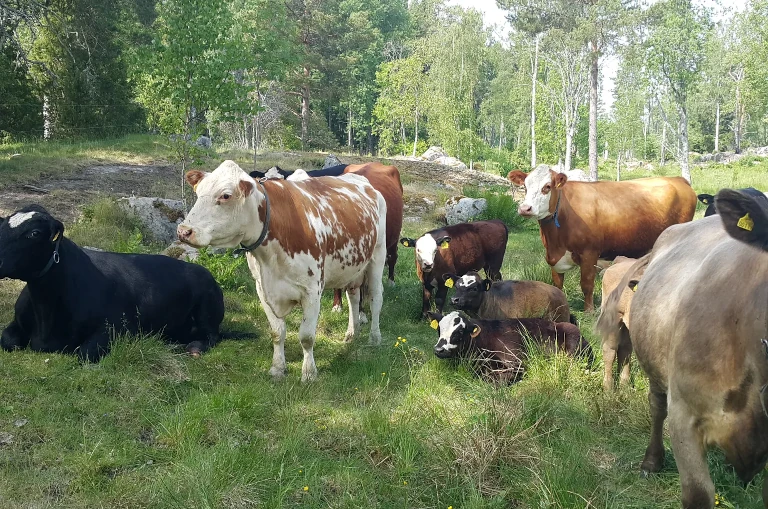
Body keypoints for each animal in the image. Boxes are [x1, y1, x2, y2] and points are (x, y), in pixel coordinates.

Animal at [0, 205, 228, 361]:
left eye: (34, 233)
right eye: (2, 226)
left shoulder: (114, 328)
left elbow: (84, 353)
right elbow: (7, 340)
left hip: (207, 309)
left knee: (211, 335)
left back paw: (194, 347)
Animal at [177, 160, 387, 382]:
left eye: (225, 195)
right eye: (198, 191)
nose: (183, 231)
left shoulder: (312, 291)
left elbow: (306, 336)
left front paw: (309, 373)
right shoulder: (262, 289)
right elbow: (277, 332)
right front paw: (277, 368)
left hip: (377, 257)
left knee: (375, 298)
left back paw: (374, 338)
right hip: (353, 266)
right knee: (353, 297)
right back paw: (351, 334)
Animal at [508, 165, 696, 311]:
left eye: (547, 186)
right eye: (525, 187)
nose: (525, 208)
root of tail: (679, 179)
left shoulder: (589, 252)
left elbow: (587, 283)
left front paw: (589, 311)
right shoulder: (554, 257)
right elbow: (557, 285)